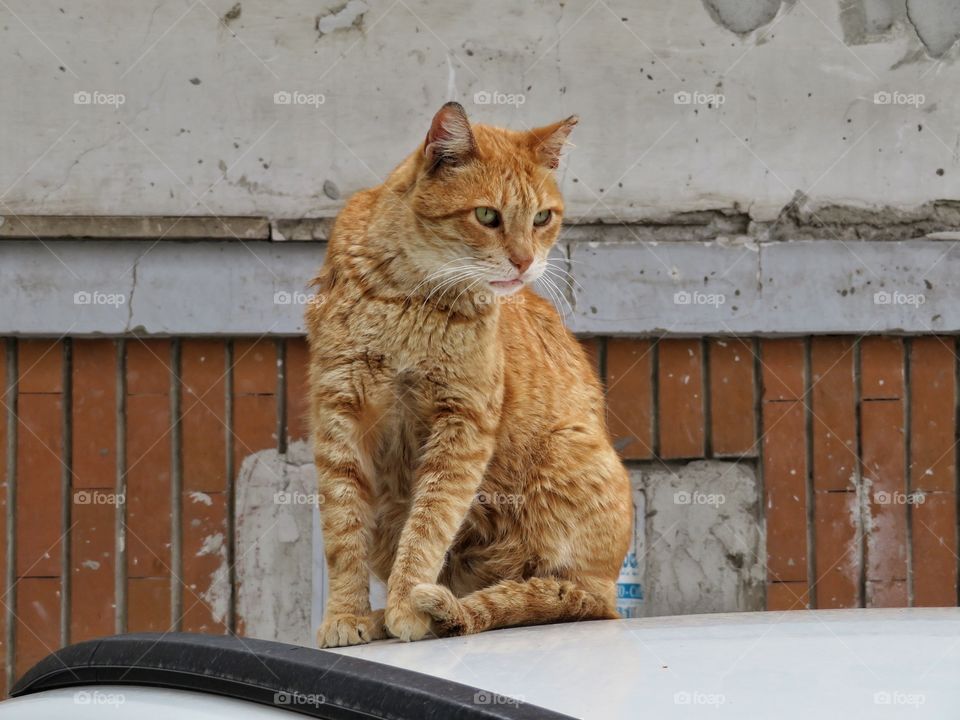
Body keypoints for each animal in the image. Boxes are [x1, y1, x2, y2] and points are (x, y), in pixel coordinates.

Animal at [308, 102, 632, 648]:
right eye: (486, 216)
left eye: (542, 218)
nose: (524, 262)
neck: (410, 295)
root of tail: (610, 592)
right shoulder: (339, 416)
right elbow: (343, 531)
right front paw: (348, 615)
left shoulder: (463, 423)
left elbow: (429, 523)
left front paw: (405, 606)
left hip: (569, 460)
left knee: (565, 595)